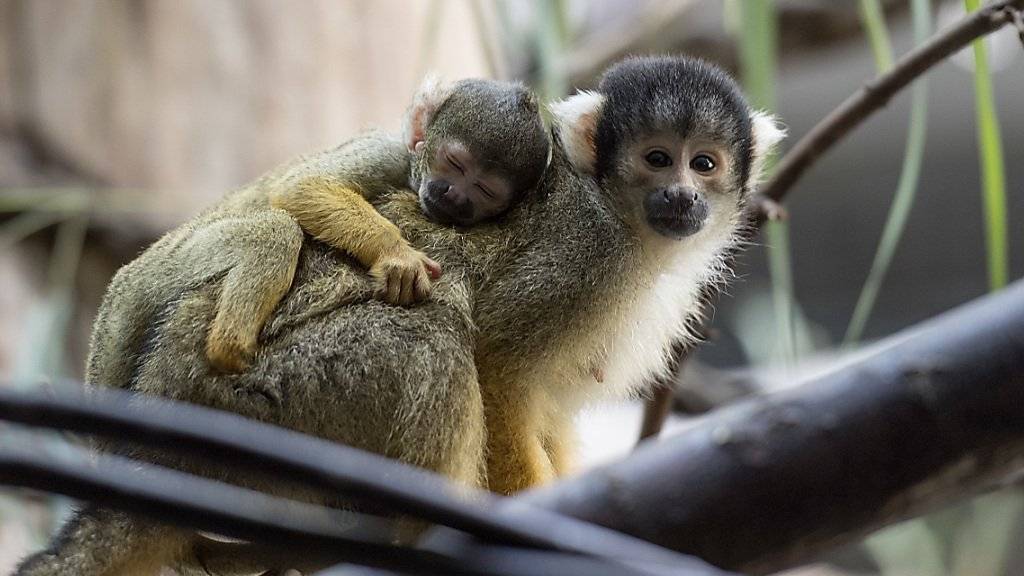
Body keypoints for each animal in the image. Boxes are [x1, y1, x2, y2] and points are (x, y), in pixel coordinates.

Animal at [202, 77, 548, 373]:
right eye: (455, 163)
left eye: (485, 190)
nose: (454, 195)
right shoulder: (389, 153)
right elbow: (302, 185)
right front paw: (396, 255)